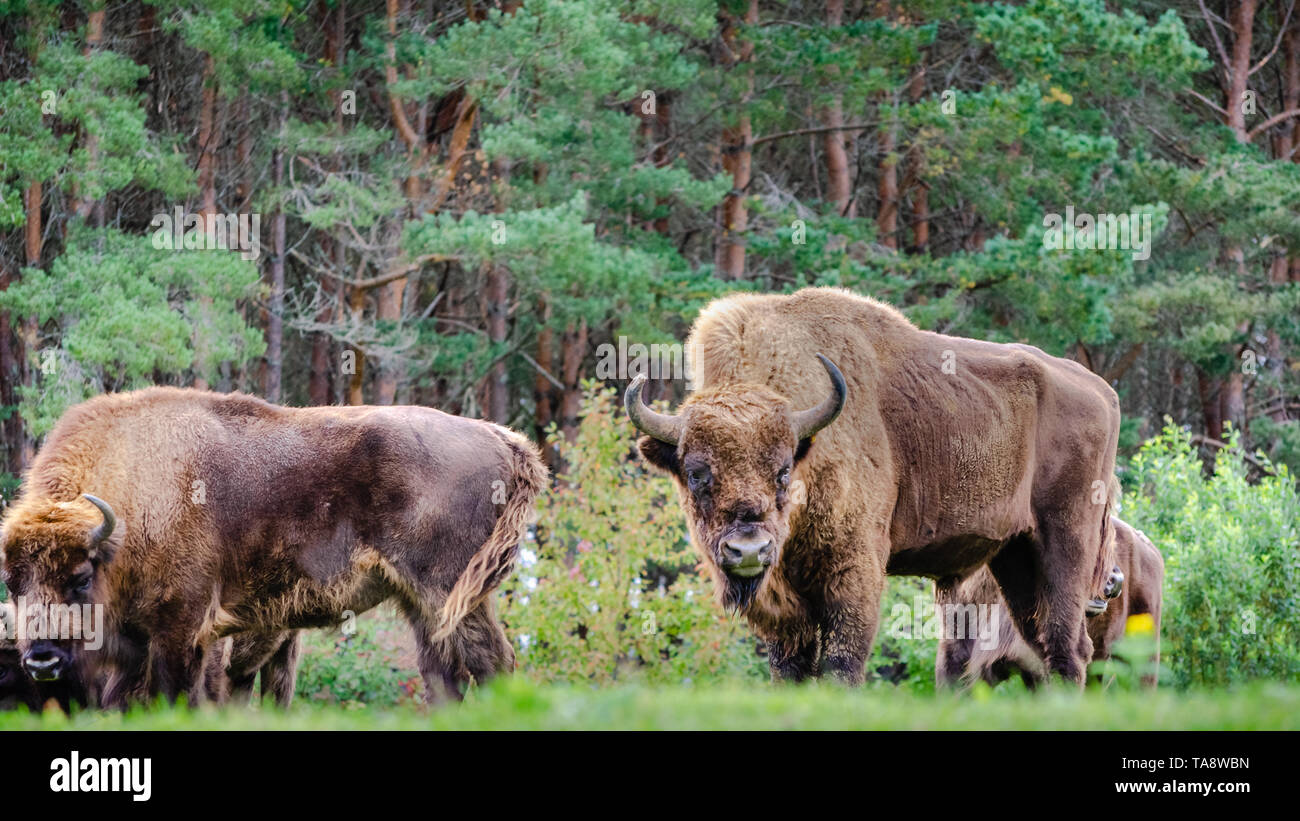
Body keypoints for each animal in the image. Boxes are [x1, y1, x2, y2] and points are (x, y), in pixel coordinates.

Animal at [0, 389, 548, 706]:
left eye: (80, 577)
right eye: (12, 582)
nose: (41, 660)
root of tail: (502, 438)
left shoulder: (183, 628)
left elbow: (179, 695)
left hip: (450, 592)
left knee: (492, 664)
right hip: (420, 603)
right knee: (444, 675)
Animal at [626, 285, 1118, 680]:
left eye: (783, 469)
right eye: (696, 473)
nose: (748, 550)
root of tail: (1101, 390)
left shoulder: (855, 569)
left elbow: (841, 662)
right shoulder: (784, 602)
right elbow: (790, 667)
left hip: (1064, 542)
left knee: (1067, 645)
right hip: (1015, 556)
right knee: (1046, 642)